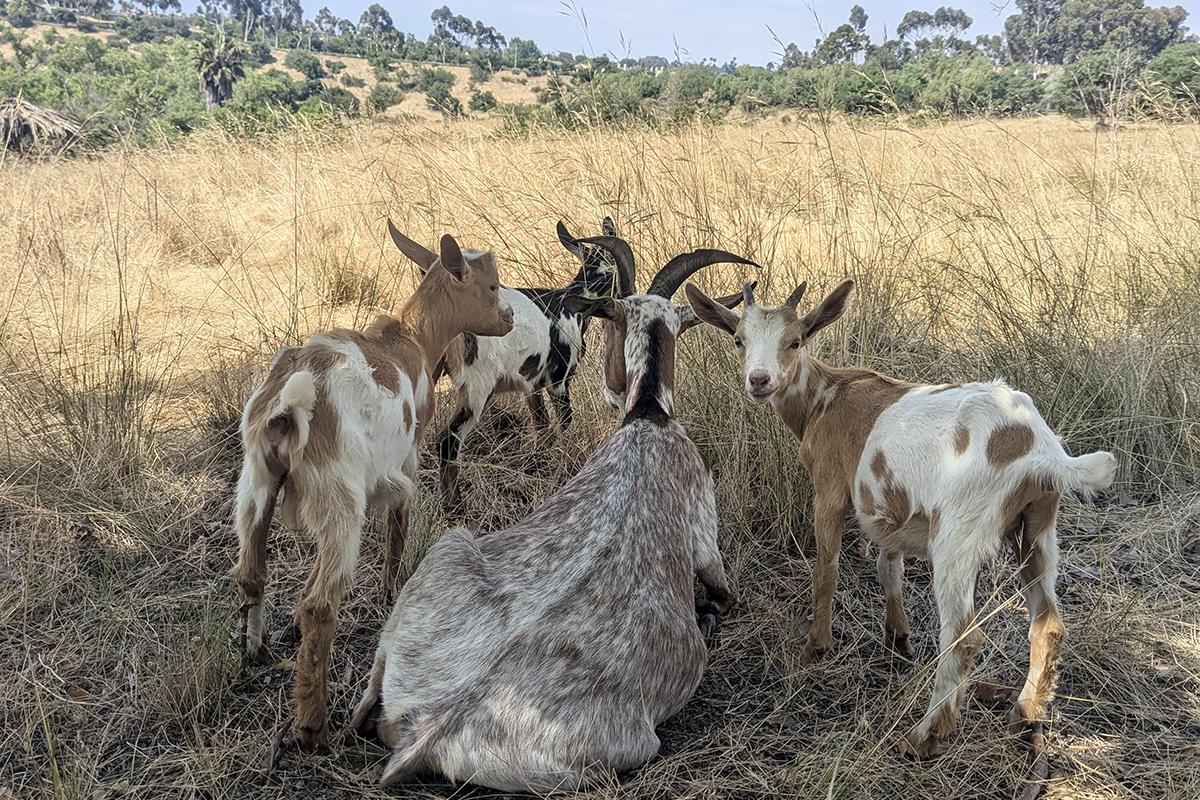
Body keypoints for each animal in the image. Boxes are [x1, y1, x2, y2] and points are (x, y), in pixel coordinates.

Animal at [232, 224, 513, 752]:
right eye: (491, 286)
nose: (508, 318)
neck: (412, 339)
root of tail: (286, 411)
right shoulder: (407, 454)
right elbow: (399, 519)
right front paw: (390, 589)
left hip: (255, 484)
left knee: (251, 572)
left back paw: (253, 654)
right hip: (339, 500)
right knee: (319, 605)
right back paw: (314, 728)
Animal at [346, 238, 754, 792]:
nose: (610, 389)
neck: (648, 415)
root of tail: (431, 724)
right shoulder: (705, 533)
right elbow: (723, 589)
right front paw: (710, 613)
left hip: (449, 548)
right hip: (622, 748)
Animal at [686, 279, 1116, 761]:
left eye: (795, 341)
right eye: (738, 340)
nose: (759, 381)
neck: (825, 397)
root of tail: (1040, 450)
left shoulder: (830, 488)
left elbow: (826, 571)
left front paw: (816, 648)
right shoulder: (890, 507)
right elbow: (887, 564)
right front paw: (898, 639)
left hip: (958, 533)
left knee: (963, 636)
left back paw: (925, 736)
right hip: (1037, 526)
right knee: (1048, 624)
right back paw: (1025, 713)